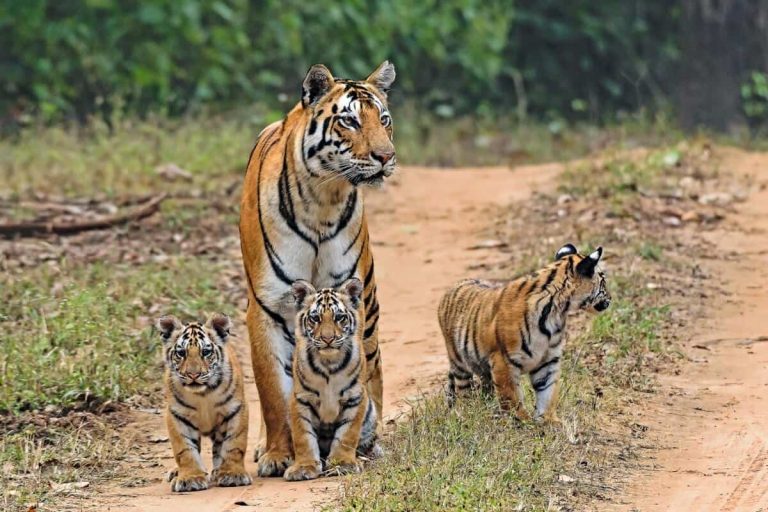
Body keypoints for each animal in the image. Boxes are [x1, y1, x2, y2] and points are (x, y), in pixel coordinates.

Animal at [156, 313, 251, 492]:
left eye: (206, 352)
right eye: (181, 353)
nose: (193, 374)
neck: (203, 394)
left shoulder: (236, 410)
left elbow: (233, 445)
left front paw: (232, 474)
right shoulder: (177, 415)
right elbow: (185, 450)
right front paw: (190, 478)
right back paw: (177, 472)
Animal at [283, 278, 379, 481]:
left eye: (339, 317)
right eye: (315, 318)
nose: (328, 339)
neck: (328, 363)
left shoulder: (355, 397)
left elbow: (346, 434)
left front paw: (342, 464)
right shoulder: (301, 399)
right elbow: (303, 436)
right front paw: (303, 467)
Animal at [437, 243, 611, 423]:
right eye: (603, 281)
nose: (610, 299)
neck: (557, 310)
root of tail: (455, 285)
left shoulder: (549, 359)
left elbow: (548, 392)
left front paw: (549, 420)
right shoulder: (503, 360)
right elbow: (511, 397)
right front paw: (521, 421)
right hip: (459, 363)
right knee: (463, 392)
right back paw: (468, 414)